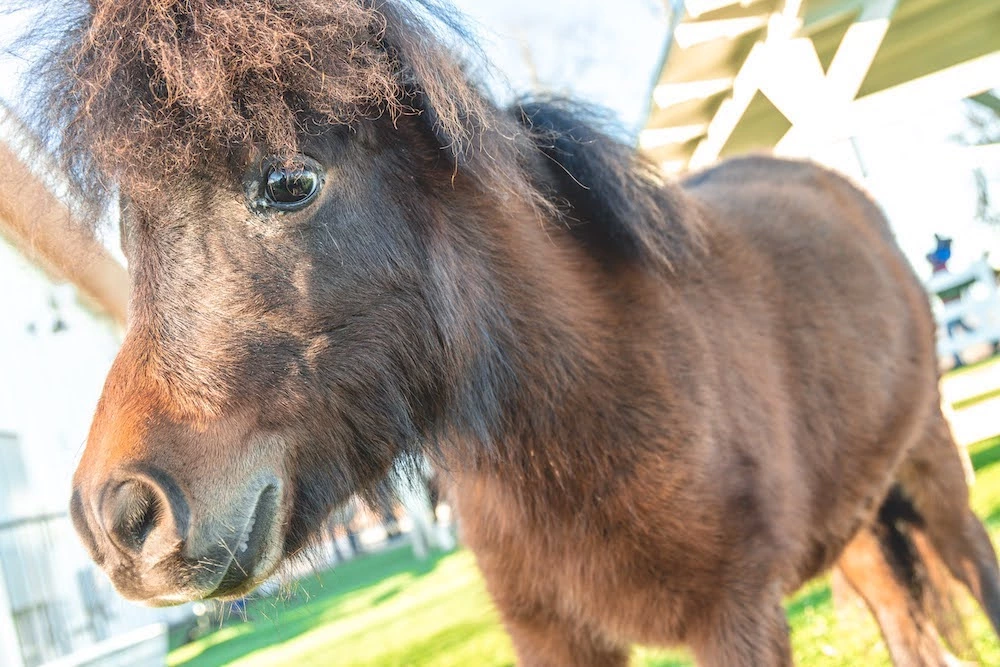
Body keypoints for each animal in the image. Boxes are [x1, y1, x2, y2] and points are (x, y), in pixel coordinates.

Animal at [33, 0, 1000, 664]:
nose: (118, 517)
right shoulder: (556, 641)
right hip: (856, 536)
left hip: (938, 477)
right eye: (132, 234)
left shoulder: (740, 621)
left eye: (288, 181)